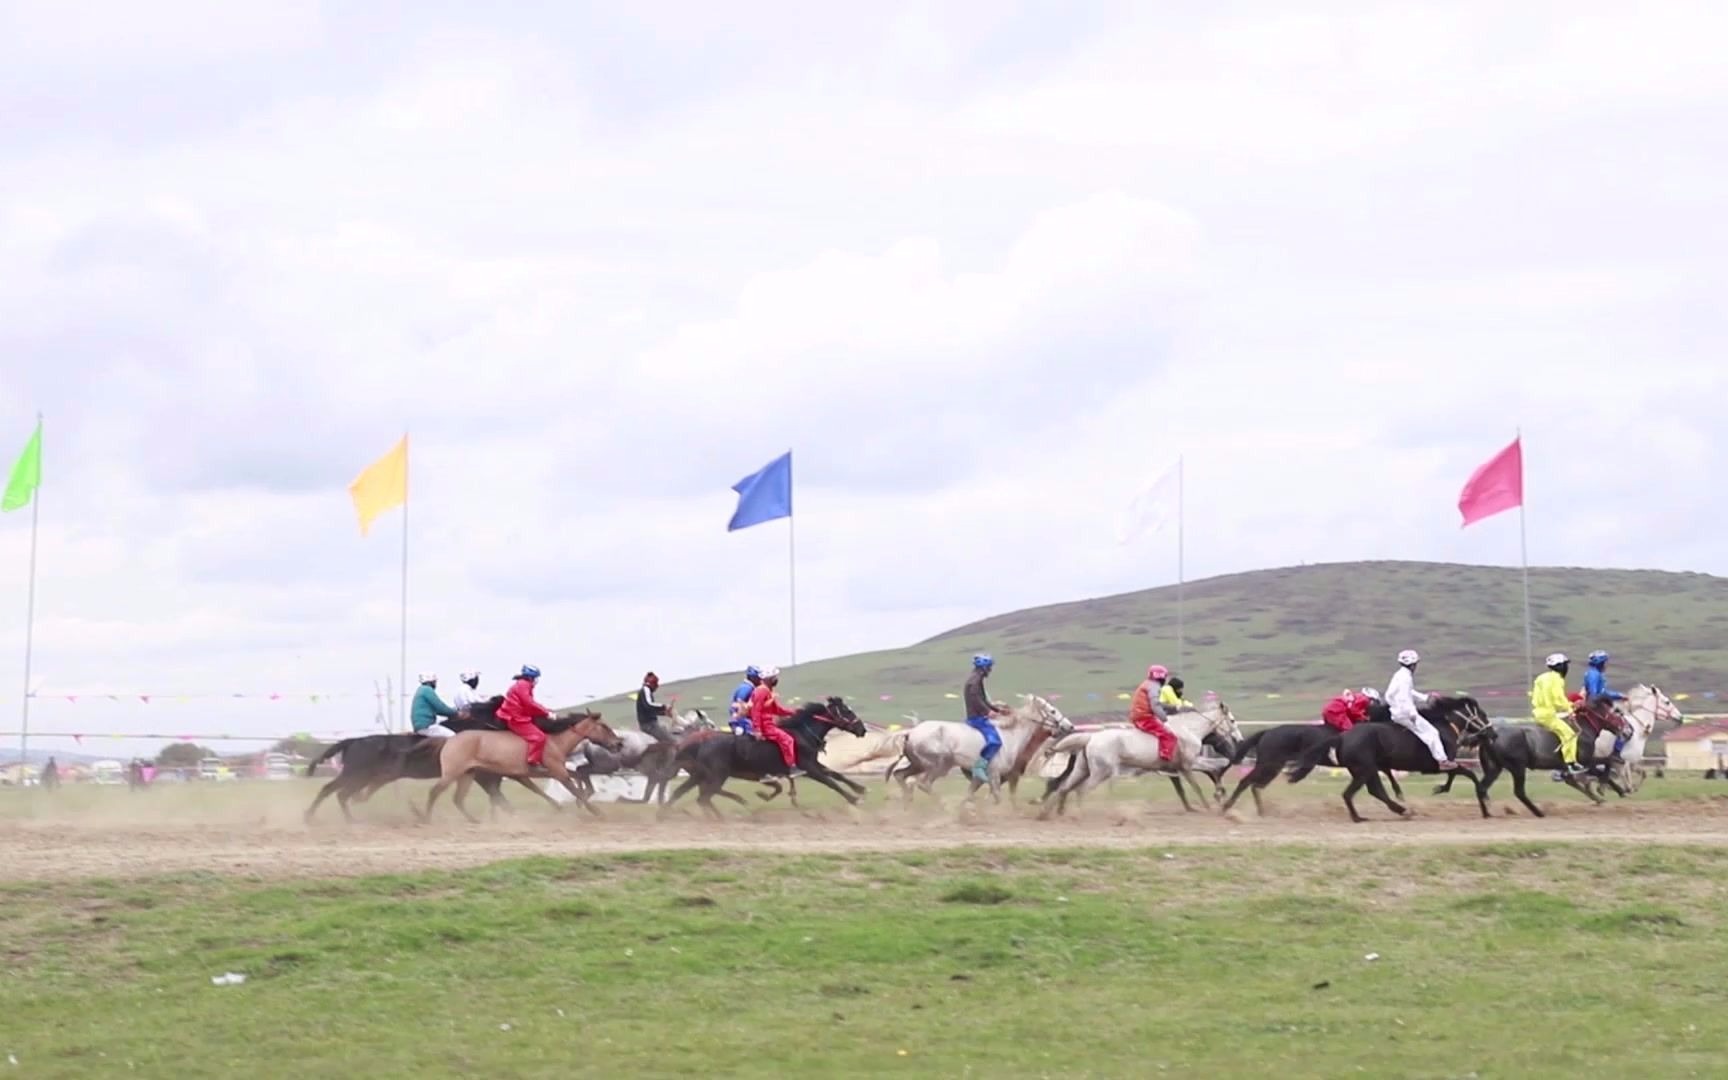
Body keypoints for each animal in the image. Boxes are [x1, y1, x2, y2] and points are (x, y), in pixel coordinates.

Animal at [421, 711, 625, 822]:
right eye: (604, 726)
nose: (619, 743)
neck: (555, 741)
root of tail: (450, 740)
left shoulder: (552, 770)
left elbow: (579, 777)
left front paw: (583, 798)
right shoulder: (555, 771)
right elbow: (573, 786)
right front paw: (596, 811)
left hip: (467, 774)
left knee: (459, 799)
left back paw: (475, 820)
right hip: (453, 773)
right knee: (434, 792)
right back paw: (426, 819)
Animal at [663, 694, 870, 822]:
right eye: (847, 711)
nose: (862, 729)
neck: (801, 734)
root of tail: (693, 743)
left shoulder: (813, 763)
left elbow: (836, 774)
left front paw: (859, 788)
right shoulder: (807, 768)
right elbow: (830, 782)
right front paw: (854, 799)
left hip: (701, 776)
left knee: (684, 794)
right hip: (716, 775)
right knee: (703, 798)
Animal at [877, 694, 1064, 805]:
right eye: (1052, 710)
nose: (1068, 726)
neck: (1009, 736)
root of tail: (911, 732)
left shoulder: (981, 777)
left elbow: (971, 794)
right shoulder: (996, 774)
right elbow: (998, 796)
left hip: (918, 764)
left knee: (900, 775)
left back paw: (908, 803)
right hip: (939, 765)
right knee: (923, 783)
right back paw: (941, 805)